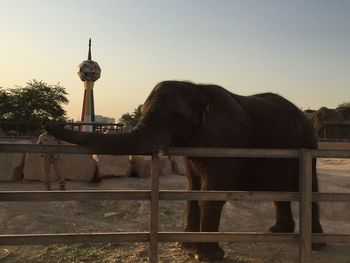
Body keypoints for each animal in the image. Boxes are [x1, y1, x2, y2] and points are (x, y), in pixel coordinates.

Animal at [44, 81, 326, 262]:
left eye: (177, 119)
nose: (46, 122)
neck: (198, 89)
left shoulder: (226, 141)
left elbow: (212, 191)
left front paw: (205, 257)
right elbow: (192, 187)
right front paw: (186, 248)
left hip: (309, 144)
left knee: (309, 187)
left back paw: (317, 245)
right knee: (283, 190)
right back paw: (278, 232)